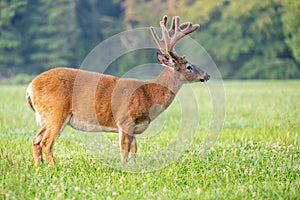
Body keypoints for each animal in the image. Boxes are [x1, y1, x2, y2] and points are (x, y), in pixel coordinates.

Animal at [25, 15, 210, 166]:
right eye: (189, 66)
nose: (207, 75)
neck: (148, 95)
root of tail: (29, 87)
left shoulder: (134, 128)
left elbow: (134, 149)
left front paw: (134, 167)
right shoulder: (124, 120)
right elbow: (124, 150)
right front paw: (125, 168)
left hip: (47, 116)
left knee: (36, 140)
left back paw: (39, 167)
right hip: (57, 112)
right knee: (46, 143)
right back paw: (54, 168)